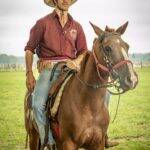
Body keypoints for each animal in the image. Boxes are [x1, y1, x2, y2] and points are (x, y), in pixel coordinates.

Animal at [24, 21, 138, 149]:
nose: (132, 79)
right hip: (33, 136)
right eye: (107, 48)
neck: (89, 106)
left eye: (127, 46)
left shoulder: (98, 143)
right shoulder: (68, 143)